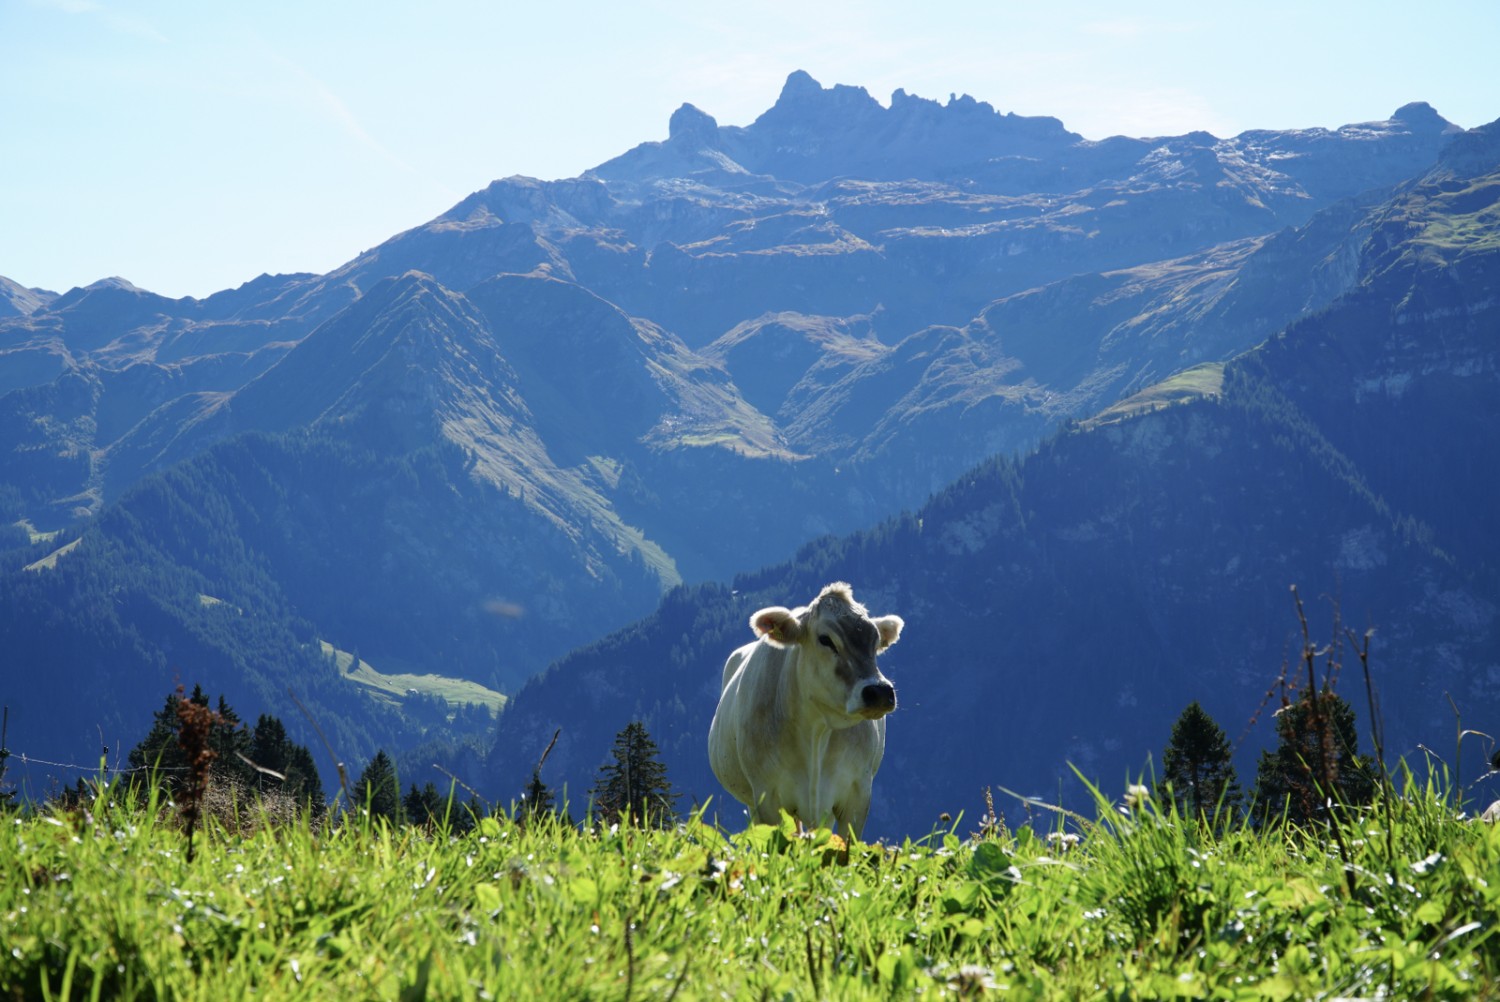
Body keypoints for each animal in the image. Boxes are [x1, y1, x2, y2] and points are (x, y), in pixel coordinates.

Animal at [705, 579, 900, 840]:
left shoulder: (858, 794)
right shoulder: (766, 795)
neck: (816, 732)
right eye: (825, 639)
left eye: (875, 642)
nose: (879, 692)